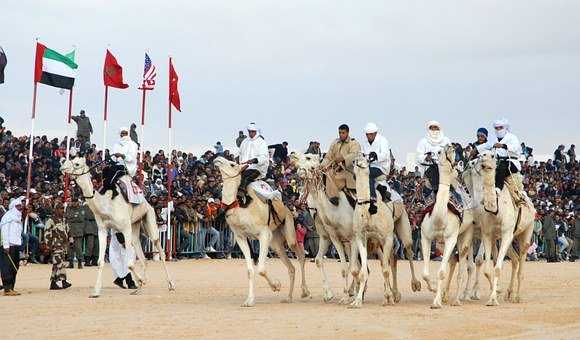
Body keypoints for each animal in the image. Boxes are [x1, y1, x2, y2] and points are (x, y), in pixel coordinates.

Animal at [61, 157, 176, 298]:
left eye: (77, 163)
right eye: (71, 158)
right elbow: (100, 261)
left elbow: (129, 263)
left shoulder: (125, 228)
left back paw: (170, 284)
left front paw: (141, 280)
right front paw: (95, 292)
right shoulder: (102, 230)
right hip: (135, 226)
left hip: (149, 217)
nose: (62, 166)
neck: (106, 204)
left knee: (159, 248)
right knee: (143, 256)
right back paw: (138, 289)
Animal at [213, 157, 310, 308]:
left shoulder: (263, 234)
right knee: (290, 266)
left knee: (300, 255)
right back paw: (288, 298)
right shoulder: (241, 237)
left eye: (232, 164)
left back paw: (305, 291)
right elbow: (250, 270)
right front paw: (249, 300)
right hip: (275, 241)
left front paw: (276, 285)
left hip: (289, 230)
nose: (217, 159)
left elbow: (261, 269)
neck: (240, 205)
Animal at [292, 151, 420, 302]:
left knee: (407, 251)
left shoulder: (352, 237)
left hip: (400, 225)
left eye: (308, 157)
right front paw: (335, 295)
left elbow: (353, 268)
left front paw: (351, 294)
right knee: (389, 259)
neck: (334, 209)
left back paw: (411, 286)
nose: (292, 155)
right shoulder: (330, 237)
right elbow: (327, 263)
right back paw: (389, 293)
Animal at [422, 143, 476, 308]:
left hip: (465, 233)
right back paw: (445, 295)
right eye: (439, 151)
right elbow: (425, 273)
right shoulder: (425, 237)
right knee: (452, 261)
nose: (449, 146)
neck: (440, 218)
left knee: (463, 266)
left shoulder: (451, 238)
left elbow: (441, 272)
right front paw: (434, 290)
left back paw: (457, 300)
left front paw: (436, 302)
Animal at [472, 151, 536, 306]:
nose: (483, 160)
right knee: (515, 259)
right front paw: (494, 295)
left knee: (522, 259)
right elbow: (488, 269)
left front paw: (493, 299)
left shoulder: (506, 233)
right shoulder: (488, 233)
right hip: (504, 238)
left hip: (527, 231)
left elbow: (497, 268)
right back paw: (508, 293)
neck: (496, 209)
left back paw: (517, 296)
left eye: (492, 156)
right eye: (481, 154)